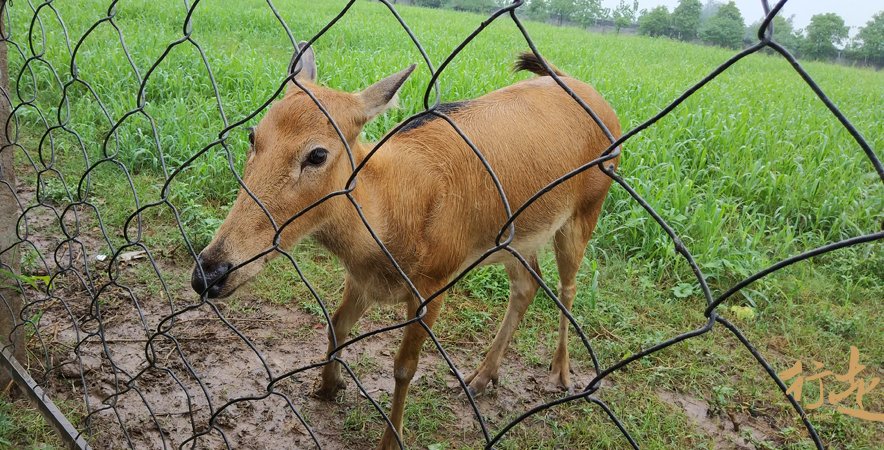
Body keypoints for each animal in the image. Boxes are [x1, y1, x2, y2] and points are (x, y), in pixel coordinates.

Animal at [193, 43, 620, 450]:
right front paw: (328, 386)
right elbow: (337, 322)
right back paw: (482, 377)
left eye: (317, 154)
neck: (389, 223)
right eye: (254, 135)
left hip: (587, 209)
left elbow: (404, 366)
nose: (208, 272)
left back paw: (559, 373)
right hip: (514, 237)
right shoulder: (361, 279)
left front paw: (390, 439)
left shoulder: (435, 280)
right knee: (527, 285)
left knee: (567, 286)